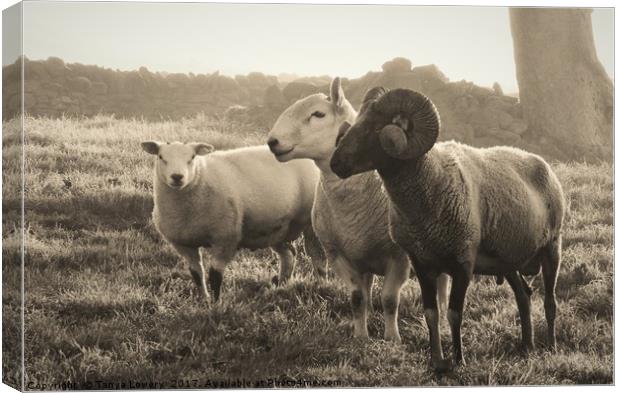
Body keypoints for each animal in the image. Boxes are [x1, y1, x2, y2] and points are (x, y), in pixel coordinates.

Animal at [141, 141, 324, 300]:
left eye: (192, 157)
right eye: (161, 157)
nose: (177, 177)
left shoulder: (225, 238)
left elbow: (215, 276)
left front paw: (216, 305)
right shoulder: (184, 245)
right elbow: (196, 273)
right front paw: (204, 299)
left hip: (312, 222)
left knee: (316, 254)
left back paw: (321, 283)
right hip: (277, 227)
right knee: (289, 255)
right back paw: (281, 285)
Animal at [266, 78, 450, 342]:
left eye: (318, 114)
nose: (272, 142)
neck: (351, 206)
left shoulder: (399, 258)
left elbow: (390, 299)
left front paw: (392, 338)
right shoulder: (339, 256)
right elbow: (357, 298)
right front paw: (360, 335)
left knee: (443, 283)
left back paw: (443, 318)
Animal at [332, 87, 564, 370]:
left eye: (376, 127)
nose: (335, 163)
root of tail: (542, 162)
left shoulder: (463, 262)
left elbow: (454, 313)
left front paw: (458, 360)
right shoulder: (422, 263)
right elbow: (431, 313)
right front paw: (435, 361)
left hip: (552, 246)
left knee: (550, 301)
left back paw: (550, 346)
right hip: (507, 261)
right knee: (524, 295)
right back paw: (526, 346)